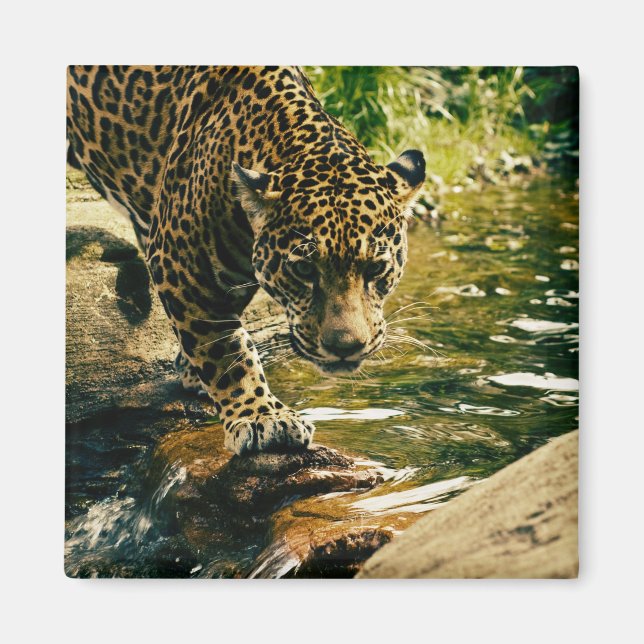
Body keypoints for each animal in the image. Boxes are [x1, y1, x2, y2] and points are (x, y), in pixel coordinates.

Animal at [66, 65, 425, 455]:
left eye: (376, 268)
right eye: (303, 269)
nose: (344, 348)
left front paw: (191, 371)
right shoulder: (181, 264)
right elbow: (227, 350)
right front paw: (262, 417)